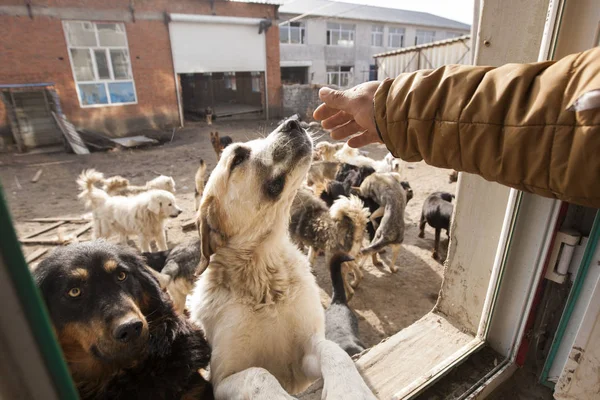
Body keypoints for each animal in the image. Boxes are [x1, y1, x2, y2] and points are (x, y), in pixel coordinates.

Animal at [189, 119, 376, 400]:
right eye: (238, 157)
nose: (293, 122)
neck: (264, 275)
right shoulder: (221, 380)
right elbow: (259, 374)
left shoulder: (306, 356)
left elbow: (334, 351)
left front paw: (350, 390)